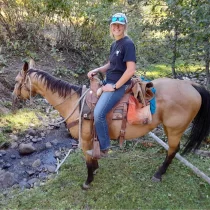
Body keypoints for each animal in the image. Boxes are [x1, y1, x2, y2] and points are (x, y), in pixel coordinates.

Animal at [11, 60, 210, 189]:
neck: (75, 103)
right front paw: (96, 170)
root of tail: (191, 86)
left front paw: (88, 181)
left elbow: (88, 161)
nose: (13, 99)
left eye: (16, 81)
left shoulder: (85, 140)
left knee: (173, 150)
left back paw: (159, 174)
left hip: (175, 129)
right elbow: (94, 158)